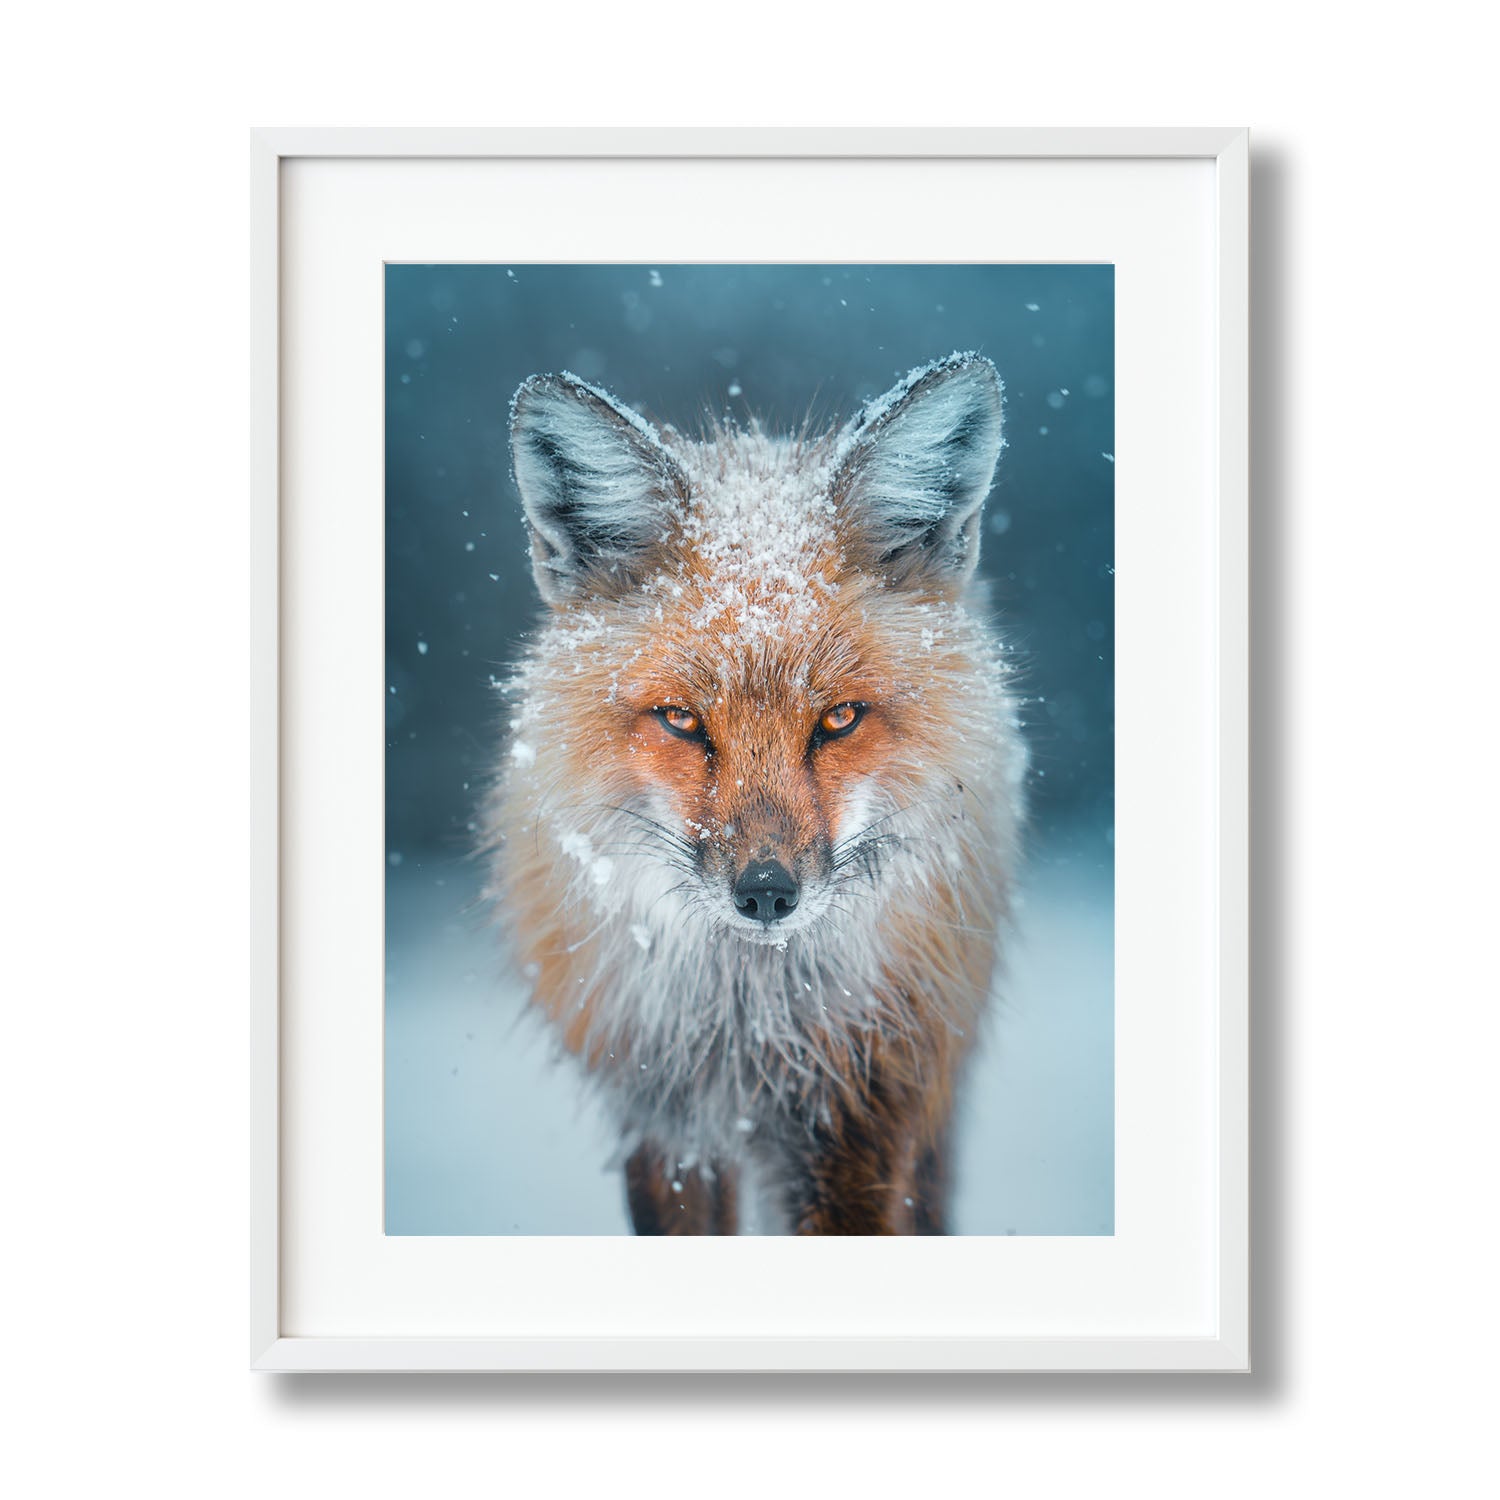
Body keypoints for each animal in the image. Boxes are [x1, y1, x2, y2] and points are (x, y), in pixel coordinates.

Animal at [482, 351, 1028, 1235]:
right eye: (681, 720)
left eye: (838, 718)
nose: (767, 893)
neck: (748, 1036)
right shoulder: (665, 1130)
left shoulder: (863, 1118)